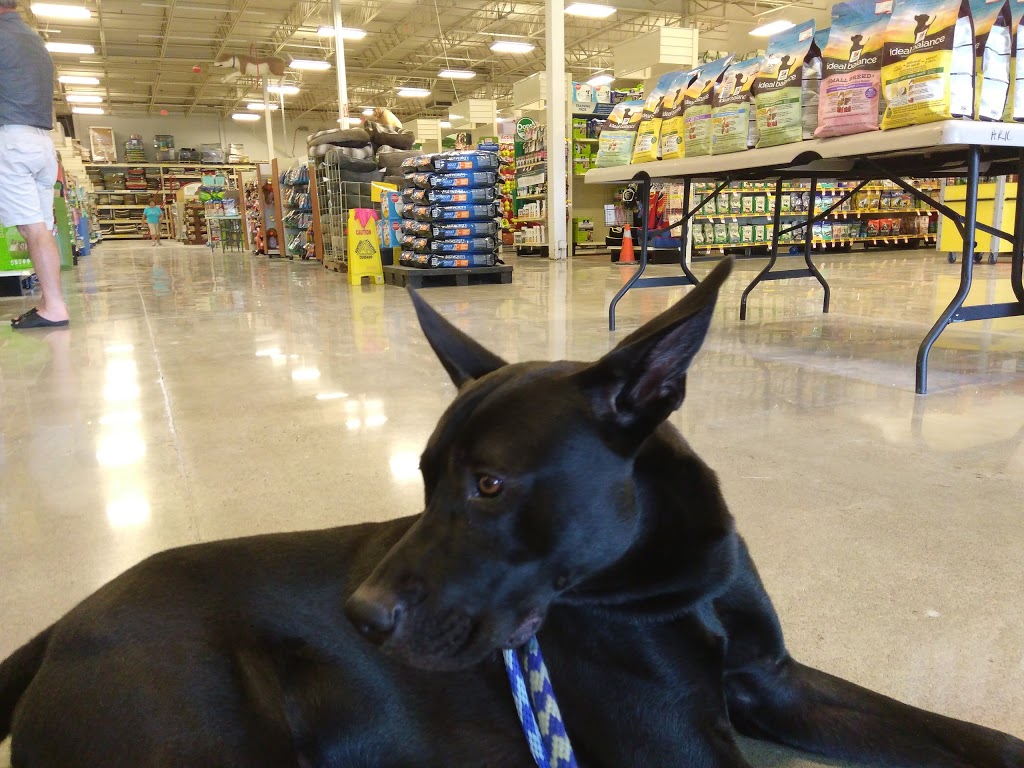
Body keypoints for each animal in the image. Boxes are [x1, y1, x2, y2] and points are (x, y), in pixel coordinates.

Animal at [2, 259, 1023, 767]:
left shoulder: (775, 679)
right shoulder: (685, 751)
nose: (358, 618)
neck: (669, 576)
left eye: (488, 485)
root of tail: (66, 623)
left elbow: (973, 737)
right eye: (421, 478)